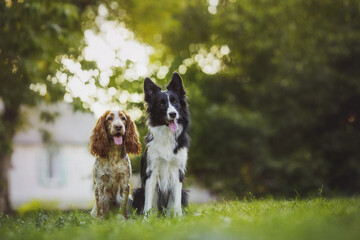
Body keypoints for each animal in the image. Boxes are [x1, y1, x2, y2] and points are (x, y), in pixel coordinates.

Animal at [133, 72, 190, 217]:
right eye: (161, 104)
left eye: (175, 102)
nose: (173, 114)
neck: (167, 135)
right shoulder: (151, 172)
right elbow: (148, 203)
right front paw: (146, 219)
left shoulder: (177, 172)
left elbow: (176, 203)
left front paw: (178, 218)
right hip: (137, 192)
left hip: (184, 193)